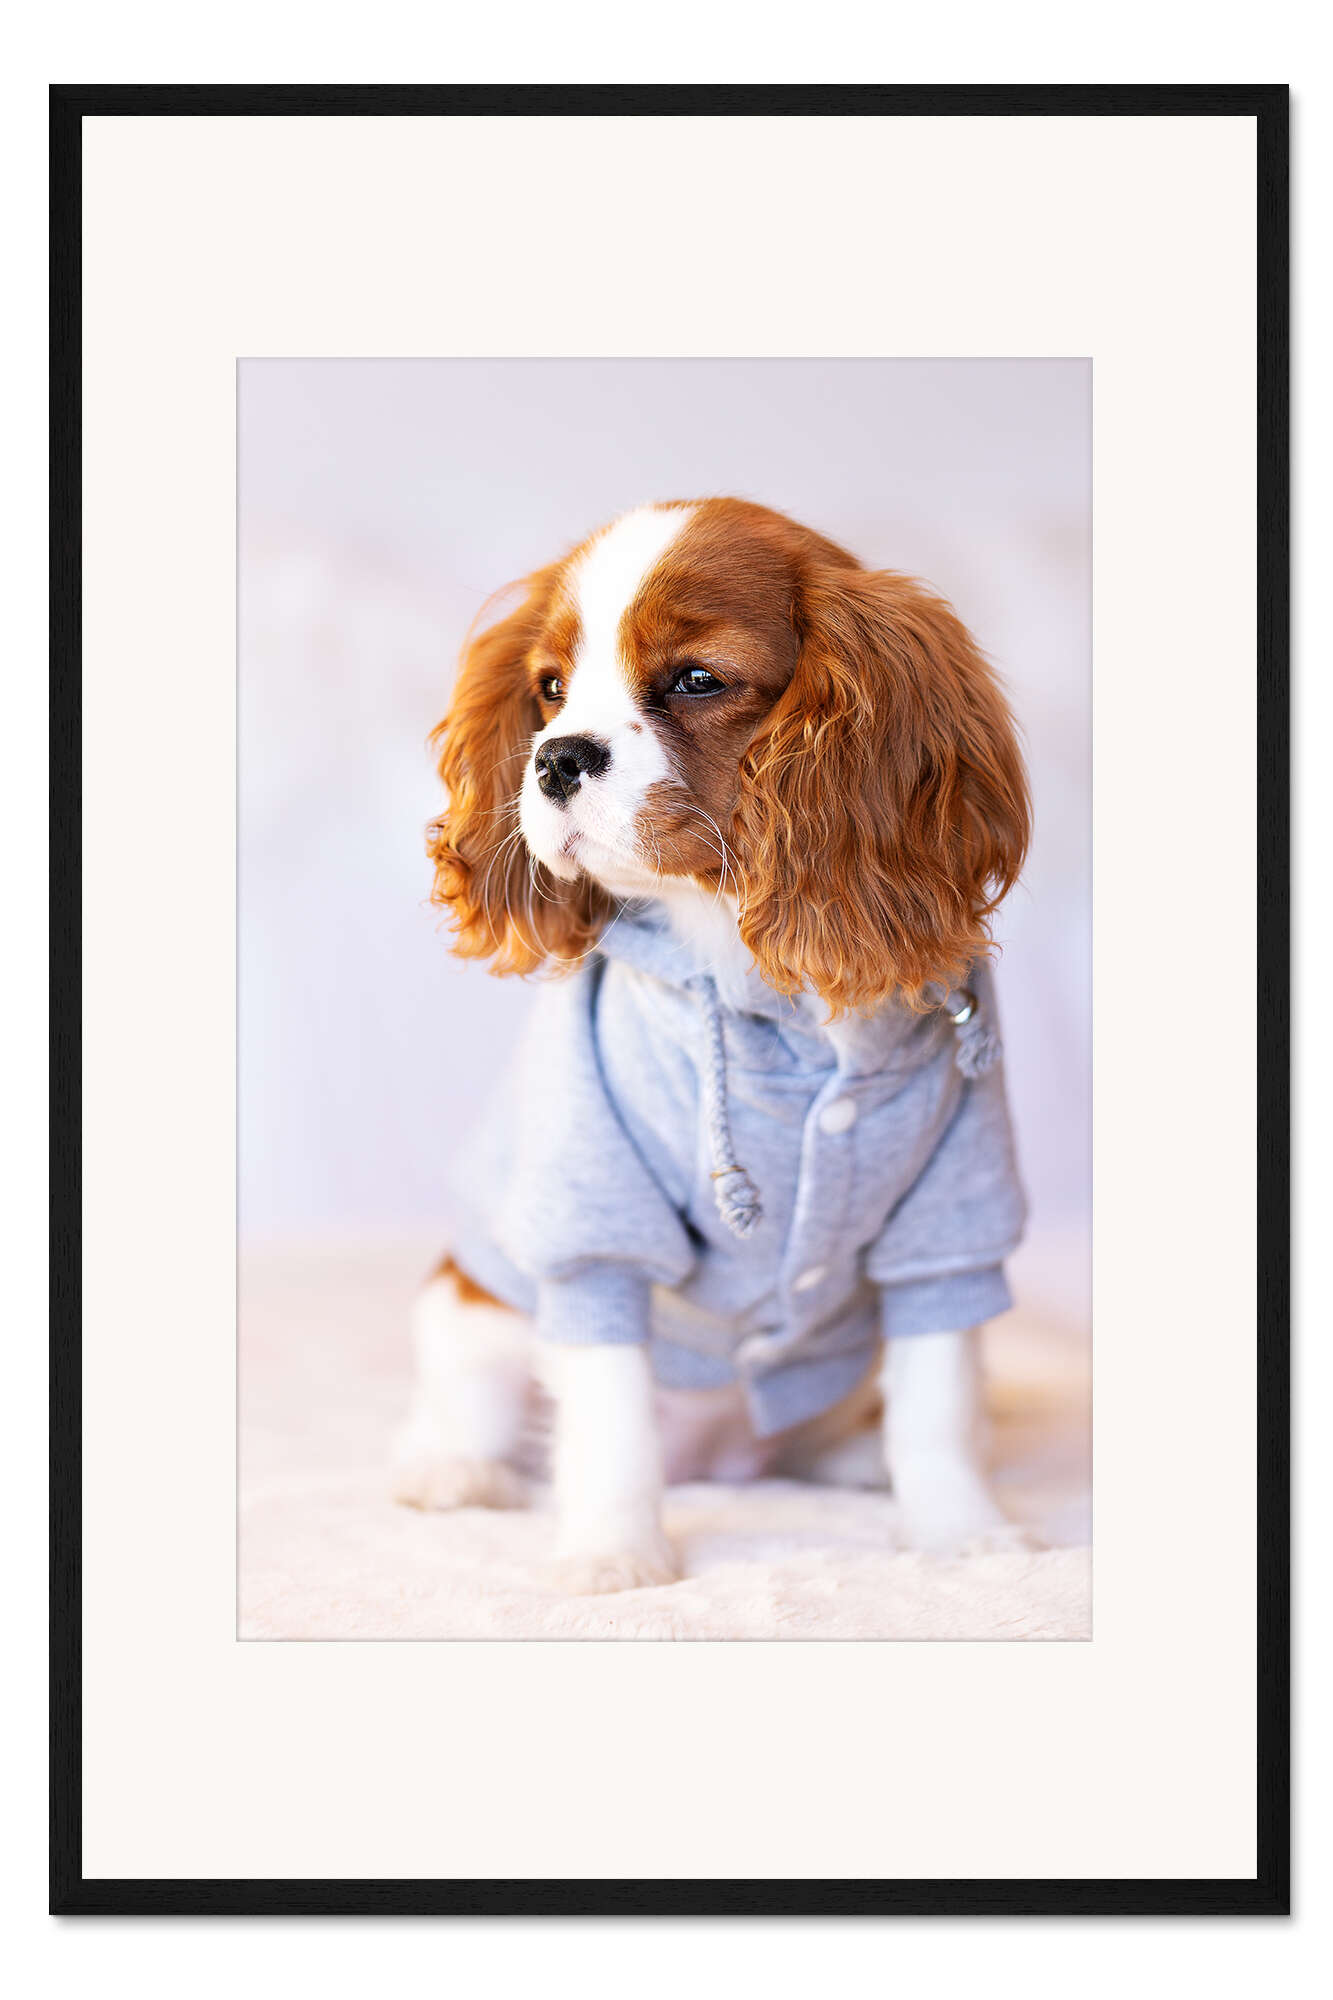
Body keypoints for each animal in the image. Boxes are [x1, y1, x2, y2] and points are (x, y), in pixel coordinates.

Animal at [393, 498, 1032, 1593]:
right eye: (550, 690)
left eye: (696, 679)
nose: (553, 757)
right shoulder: (598, 1231)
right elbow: (608, 1412)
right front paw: (613, 1553)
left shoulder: (948, 1226)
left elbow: (941, 1400)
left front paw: (960, 1536)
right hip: (470, 1308)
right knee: (475, 1406)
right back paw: (452, 1470)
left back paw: (853, 1457)